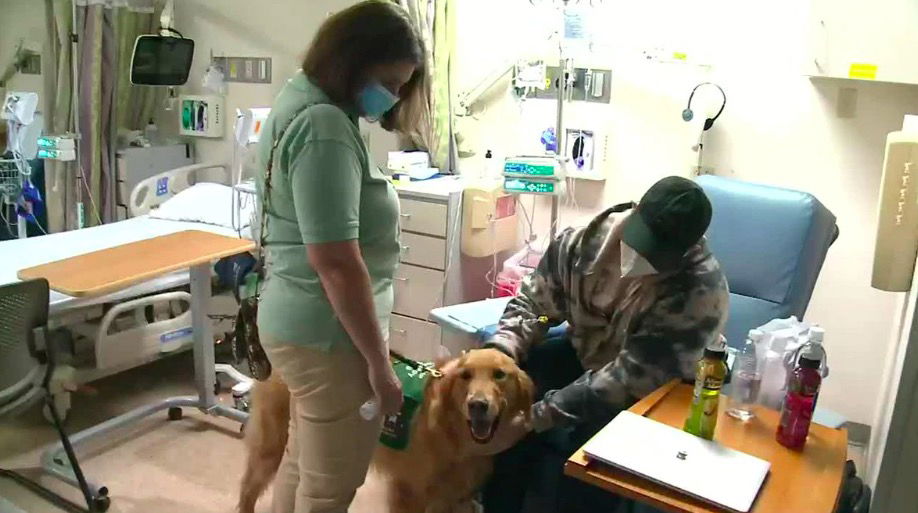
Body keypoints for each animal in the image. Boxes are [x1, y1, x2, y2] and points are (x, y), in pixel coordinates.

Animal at [241, 348, 536, 512]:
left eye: (500, 375)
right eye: (466, 376)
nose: (478, 405)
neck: (452, 432)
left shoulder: (448, 496)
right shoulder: (408, 491)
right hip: (273, 446)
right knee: (248, 488)